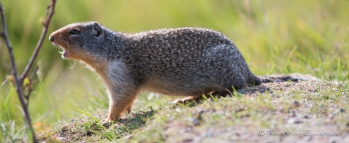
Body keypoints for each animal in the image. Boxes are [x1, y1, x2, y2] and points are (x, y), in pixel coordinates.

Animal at [48, 21, 316, 122]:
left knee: (233, 88)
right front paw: (125, 113)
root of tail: (247, 70)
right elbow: (127, 100)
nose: (50, 37)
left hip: (225, 75)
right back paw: (183, 100)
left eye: (74, 31)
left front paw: (108, 120)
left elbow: (120, 99)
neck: (112, 49)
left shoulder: (121, 76)